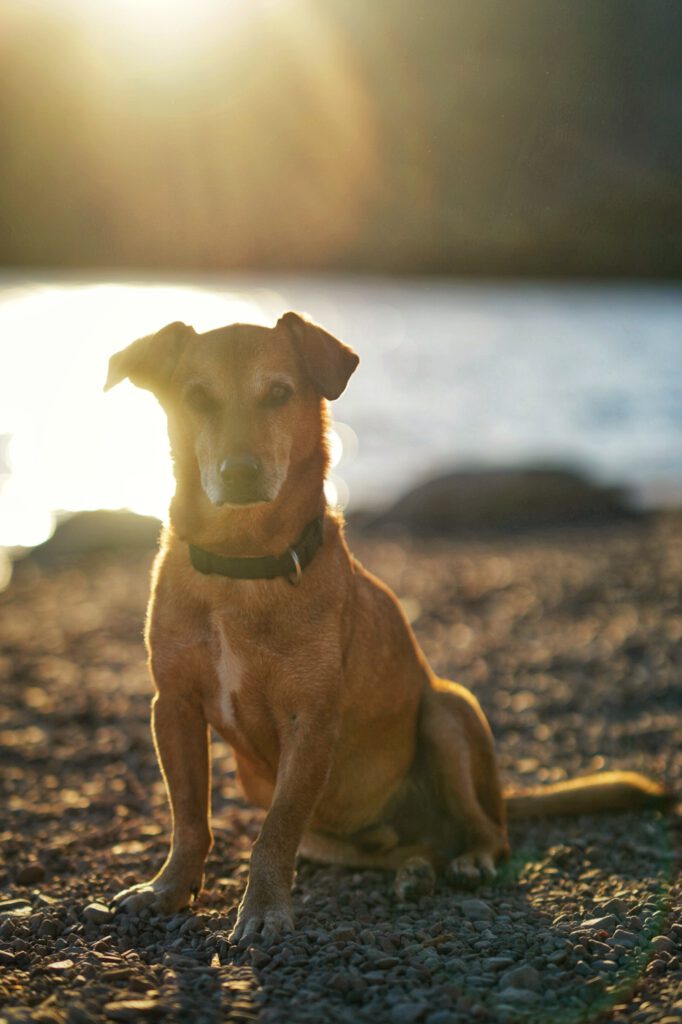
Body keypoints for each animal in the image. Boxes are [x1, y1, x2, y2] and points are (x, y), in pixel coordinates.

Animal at [103, 313, 667, 942]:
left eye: (279, 393)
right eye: (197, 398)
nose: (240, 472)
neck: (241, 566)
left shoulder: (310, 721)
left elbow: (274, 829)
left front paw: (264, 909)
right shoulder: (173, 706)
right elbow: (188, 817)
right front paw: (168, 889)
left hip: (447, 710)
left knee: (490, 833)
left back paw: (470, 858)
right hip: (325, 827)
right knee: (408, 847)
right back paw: (415, 871)